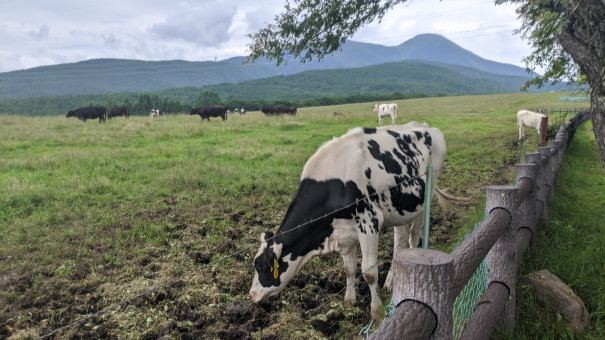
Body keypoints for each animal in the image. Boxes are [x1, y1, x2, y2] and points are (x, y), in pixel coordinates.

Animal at [248, 122, 464, 318]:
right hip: (398, 209)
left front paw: (375, 310)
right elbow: (349, 268)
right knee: (400, 240)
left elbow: (369, 272)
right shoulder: (343, 231)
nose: (252, 295)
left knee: (413, 236)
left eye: (261, 266)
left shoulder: (369, 223)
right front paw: (349, 301)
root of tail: (427, 126)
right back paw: (391, 281)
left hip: (426, 193)